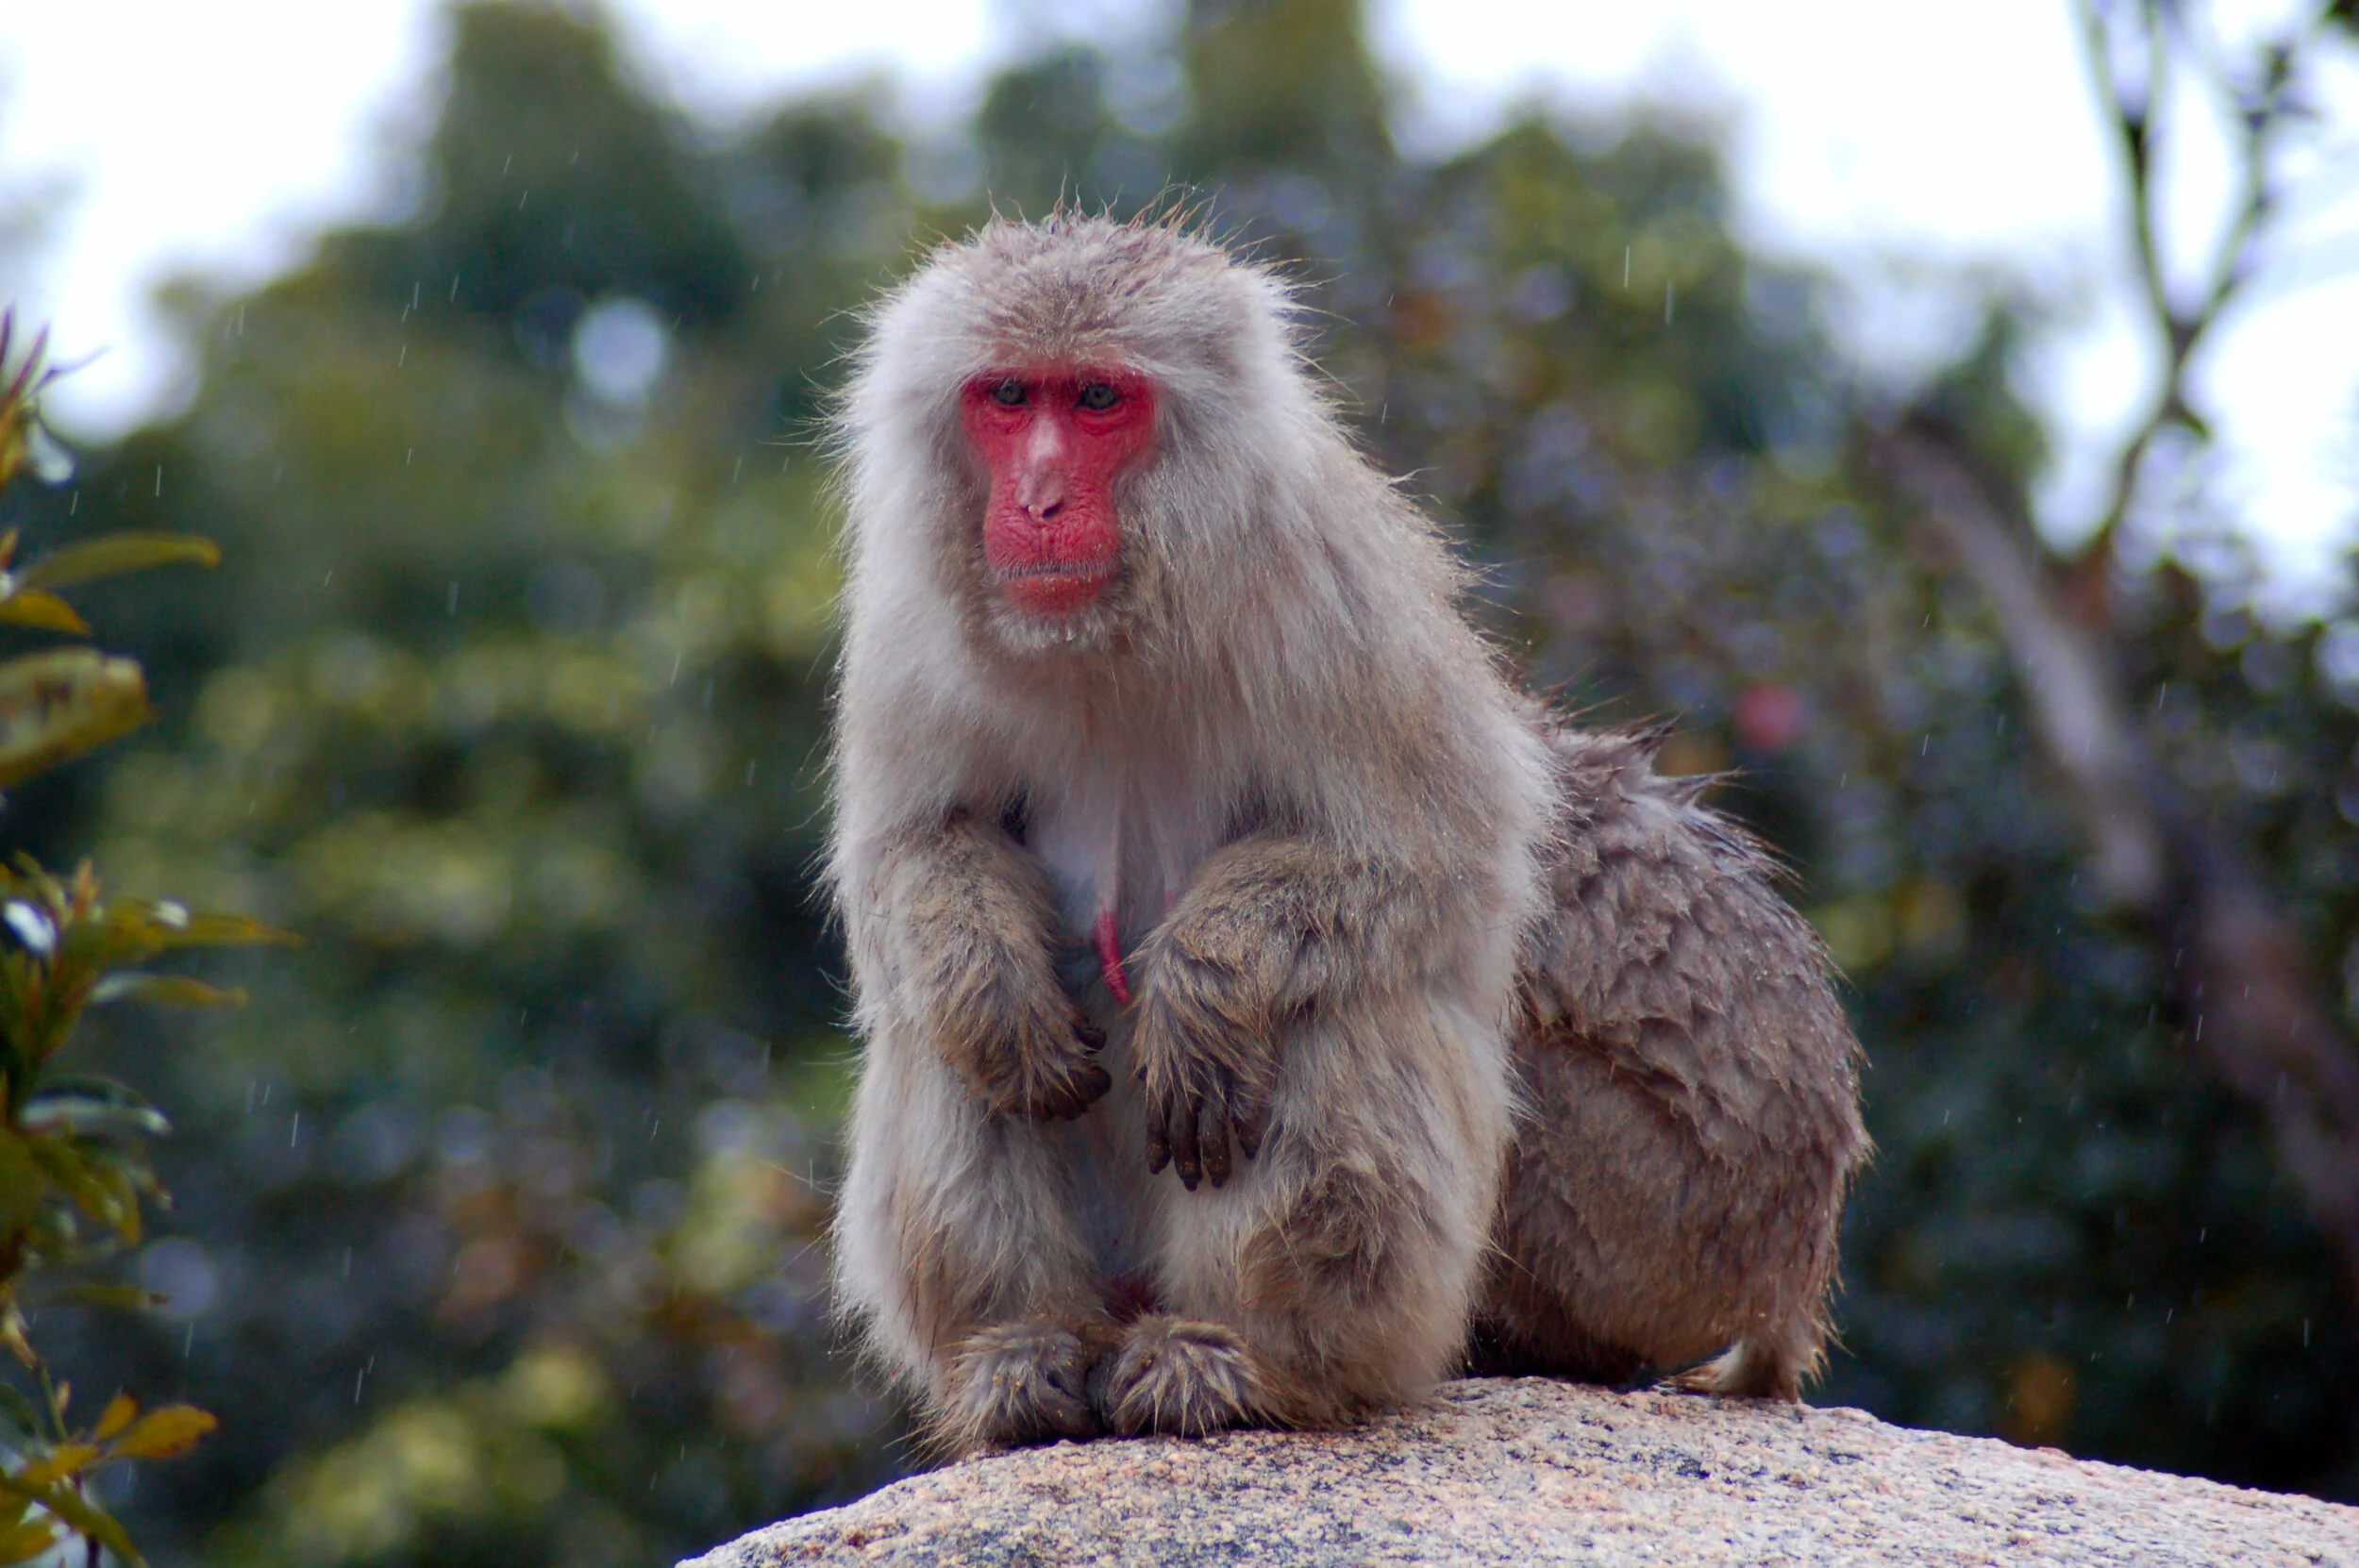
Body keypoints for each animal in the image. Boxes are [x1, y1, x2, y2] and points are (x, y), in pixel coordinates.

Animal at [823, 212, 1866, 1456]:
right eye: (1007, 395)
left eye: (1096, 399)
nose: (1033, 499)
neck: (1116, 629)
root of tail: (1787, 1275)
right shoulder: (908, 627)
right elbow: (914, 854)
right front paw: (989, 982)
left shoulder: (1332, 588)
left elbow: (1438, 855)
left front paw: (1204, 981)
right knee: (938, 1028)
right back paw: (1024, 1352)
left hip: (1630, 1233)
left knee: (1343, 998)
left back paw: (1257, 1359)